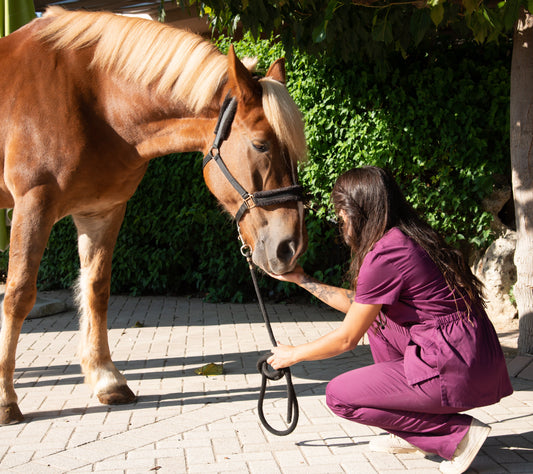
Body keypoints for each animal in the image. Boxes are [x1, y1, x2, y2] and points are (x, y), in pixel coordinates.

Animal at [0, 7, 306, 424]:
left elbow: (96, 290)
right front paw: (5, 399)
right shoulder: (33, 204)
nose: (289, 245)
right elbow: (18, 295)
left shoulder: (102, 211)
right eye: (261, 144)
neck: (93, 100)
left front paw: (106, 379)